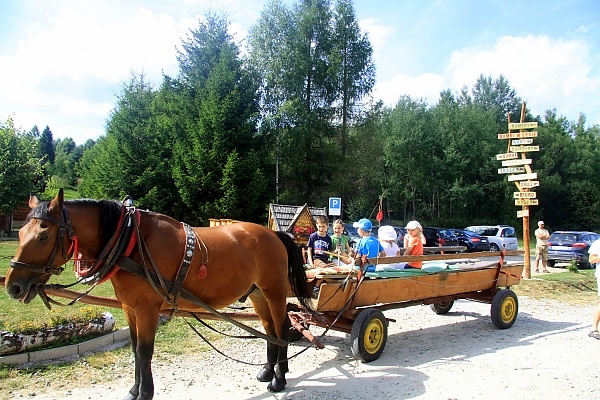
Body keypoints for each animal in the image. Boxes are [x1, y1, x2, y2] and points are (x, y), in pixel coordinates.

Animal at [4, 191, 314, 400]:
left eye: (43, 236)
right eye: (19, 233)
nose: (12, 286)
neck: (130, 243)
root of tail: (274, 235)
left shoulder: (147, 308)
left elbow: (144, 351)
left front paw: (145, 392)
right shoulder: (129, 308)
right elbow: (133, 349)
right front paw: (133, 389)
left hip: (274, 292)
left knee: (281, 329)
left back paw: (279, 378)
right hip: (257, 294)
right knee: (269, 329)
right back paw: (267, 372)